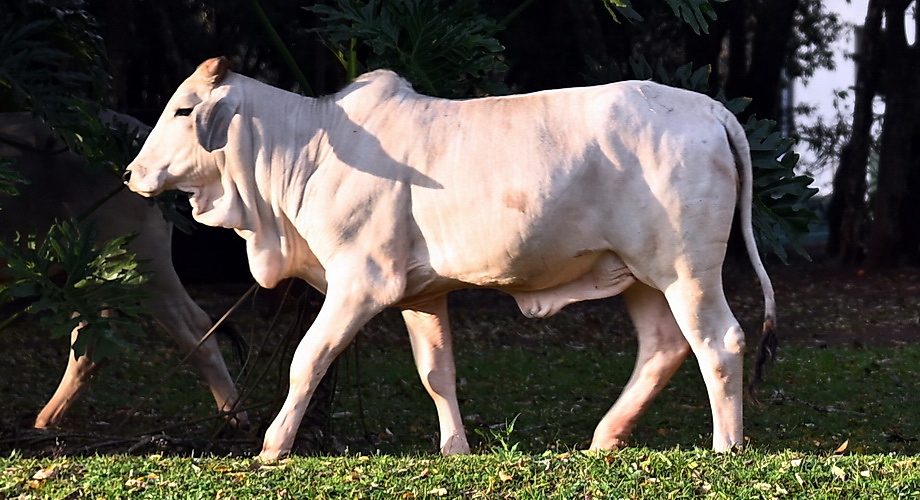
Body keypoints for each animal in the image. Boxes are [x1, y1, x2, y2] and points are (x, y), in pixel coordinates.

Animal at [0, 111, 248, 431]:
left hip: (143, 257)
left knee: (196, 326)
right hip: (93, 268)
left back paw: (234, 418)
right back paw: (45, 420)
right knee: (91, 343)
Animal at [124, 57, 776, 461]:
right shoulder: (422, 294)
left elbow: (307, 360)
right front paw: (455, 448)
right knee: (663, 346)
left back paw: (726, 446)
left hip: (686, 271)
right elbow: (437, 373)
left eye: (183, 110)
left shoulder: (361, 282)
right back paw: (605, 437)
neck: (303, 148)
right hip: (638, 274)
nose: (131, 174)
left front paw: (272, 446)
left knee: (719, 342)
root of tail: (709, 109)